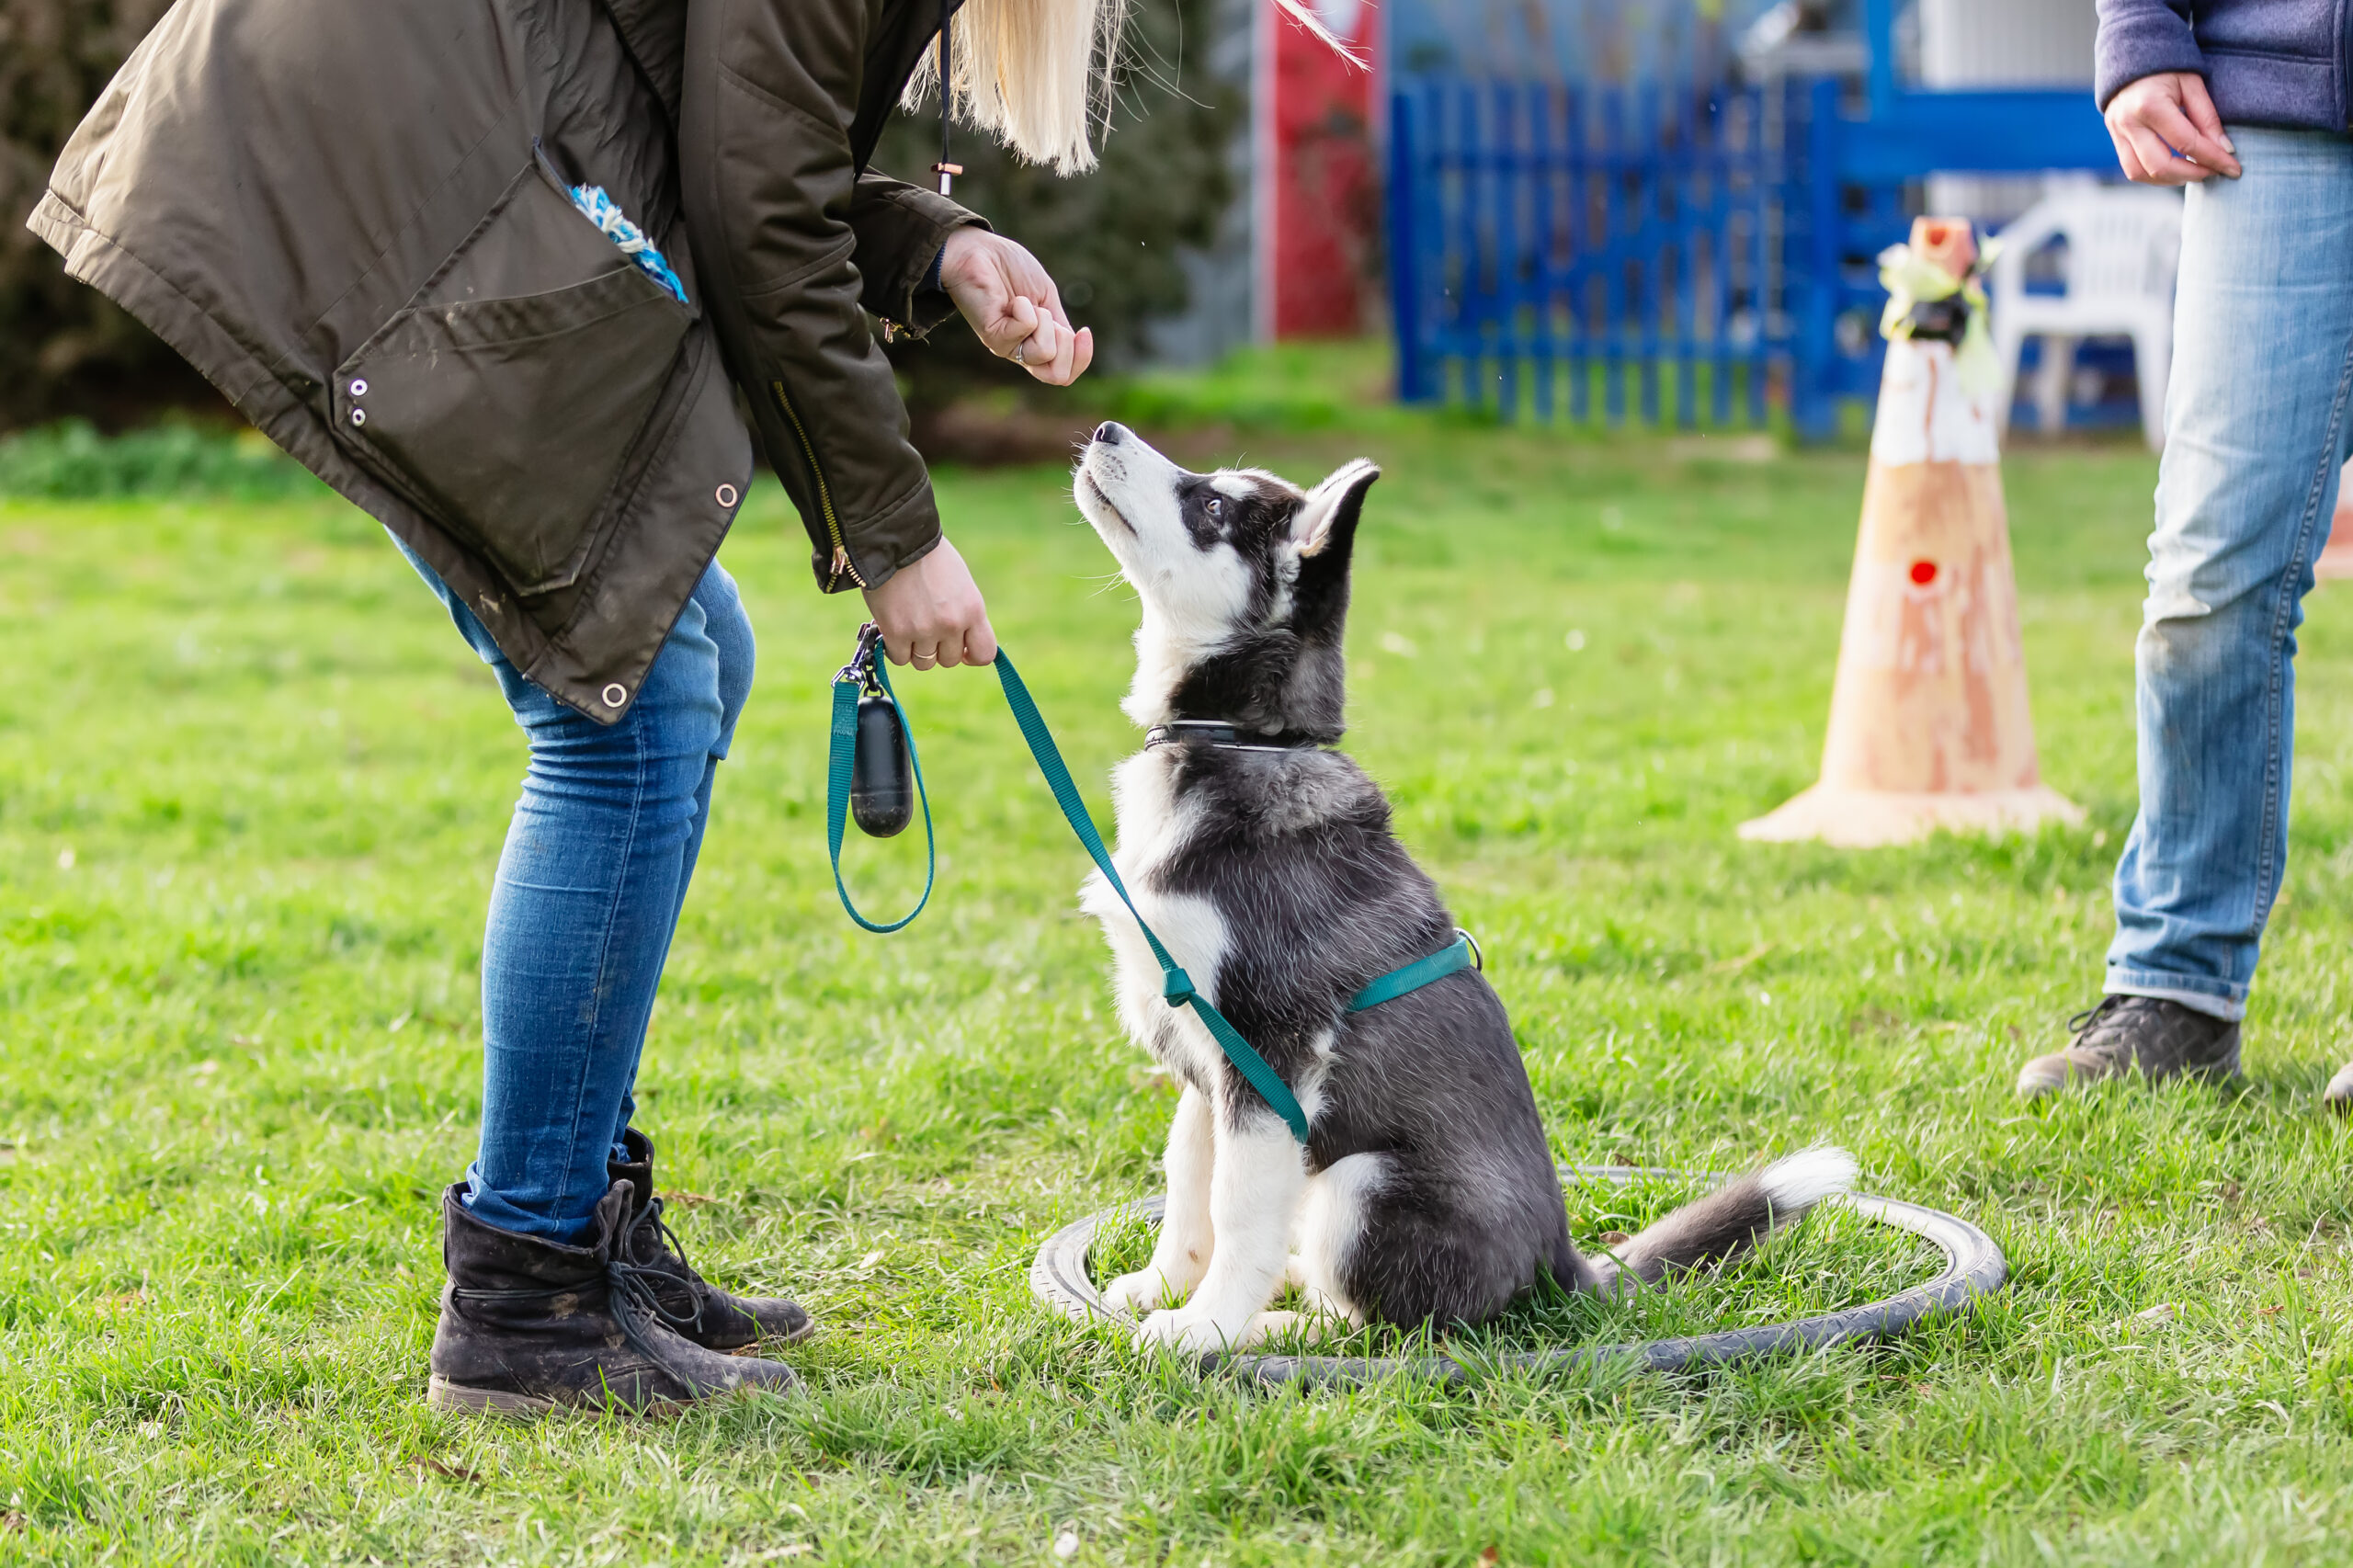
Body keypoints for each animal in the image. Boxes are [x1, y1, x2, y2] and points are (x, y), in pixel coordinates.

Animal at [1068, 421, 1854, 1346]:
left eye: (1213, 505)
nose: (1106, 429)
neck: (1239, 741)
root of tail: (1563, 1266)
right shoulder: (1203, 1057)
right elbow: (1190, 1183)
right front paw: (1161, 1287)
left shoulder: (1271, 1054)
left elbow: (1238, 1209)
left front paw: (1207, 1329)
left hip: (1362, 1183)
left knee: (1383, 1325)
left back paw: (1281, 1324)